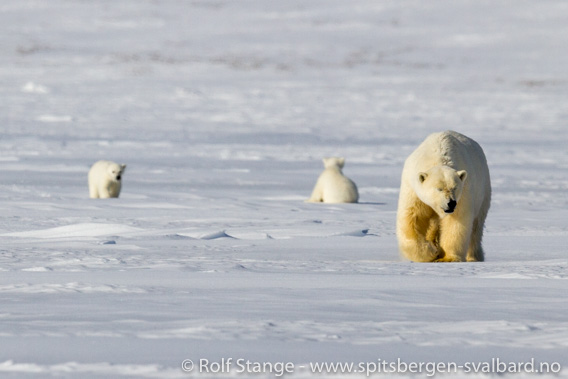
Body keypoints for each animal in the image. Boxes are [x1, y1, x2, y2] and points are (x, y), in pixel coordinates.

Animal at [398, 132, 490, 262]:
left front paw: (448, 258)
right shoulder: (413, 189)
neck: (437, 158)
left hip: (483, 191)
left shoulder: (464, 191)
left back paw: (473, 257)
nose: (451, 203)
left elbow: (456, 221)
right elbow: (412, 218)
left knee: (476, 227)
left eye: (454, 187)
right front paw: (430, 252)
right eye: (439, 189)